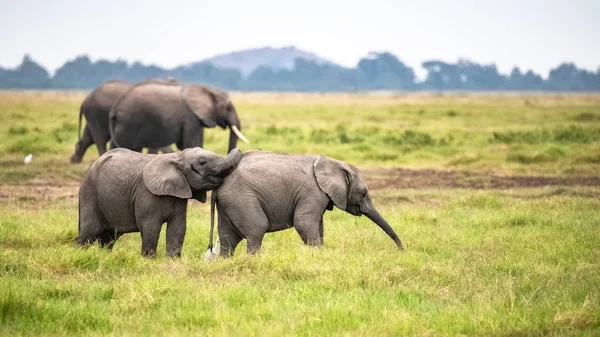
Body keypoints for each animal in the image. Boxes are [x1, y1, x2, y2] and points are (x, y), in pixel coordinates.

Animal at [77, 146, 241, 256]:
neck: (177, 156)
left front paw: (173, 259)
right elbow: (151, 227)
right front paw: (148, 260)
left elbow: (178, 227)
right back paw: (80, 253)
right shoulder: (147, 194)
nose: (238, 149)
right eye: (202, 162)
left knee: (109, 237)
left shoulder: (179, 195)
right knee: (88, 233)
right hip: (90, 195)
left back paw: (104, 256)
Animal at [108, 80, 248, 154]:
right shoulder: (190, 118)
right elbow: (190, 143)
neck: (208, 90)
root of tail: (114, 109)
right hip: (128, 123)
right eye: (228, 108)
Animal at [206, 148, 404, 256]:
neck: (333, 162)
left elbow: (319, 227)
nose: (402, 250)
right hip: (242, 198)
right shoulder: (312, 193)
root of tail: (220, 182)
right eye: (363, 194)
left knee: (228, 239)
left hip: (229, 203)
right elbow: (304, 223)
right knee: (256, 229)